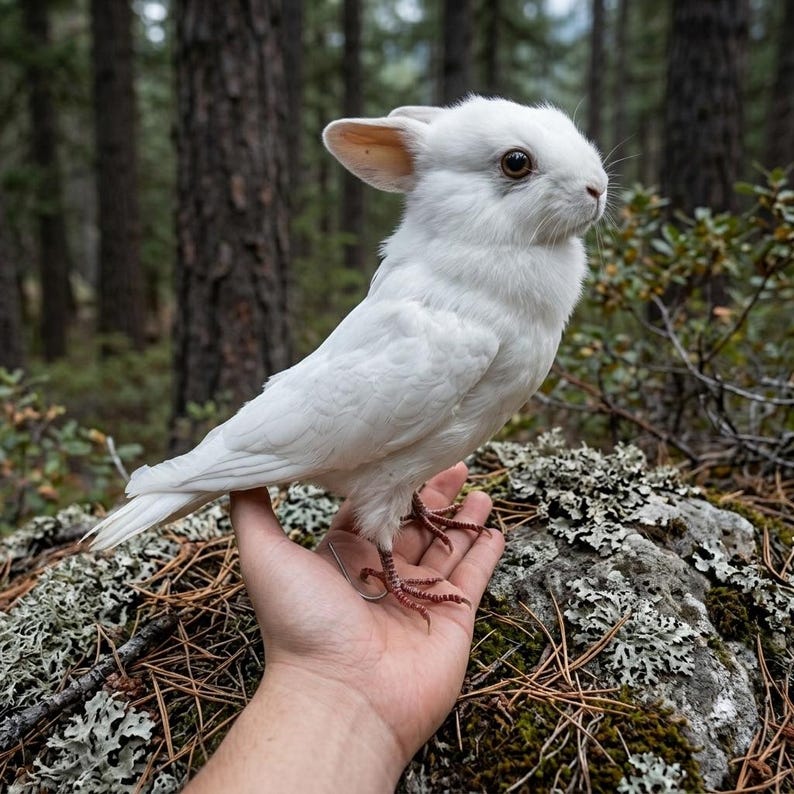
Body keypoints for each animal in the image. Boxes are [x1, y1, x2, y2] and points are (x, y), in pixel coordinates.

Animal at [85, 95, 608, 627]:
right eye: (516, 162)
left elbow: (416, 497)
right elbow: (383, 540)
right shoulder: (385, 482)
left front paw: (434, 517)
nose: (599, 187)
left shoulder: (414, 470)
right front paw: (408, 593)